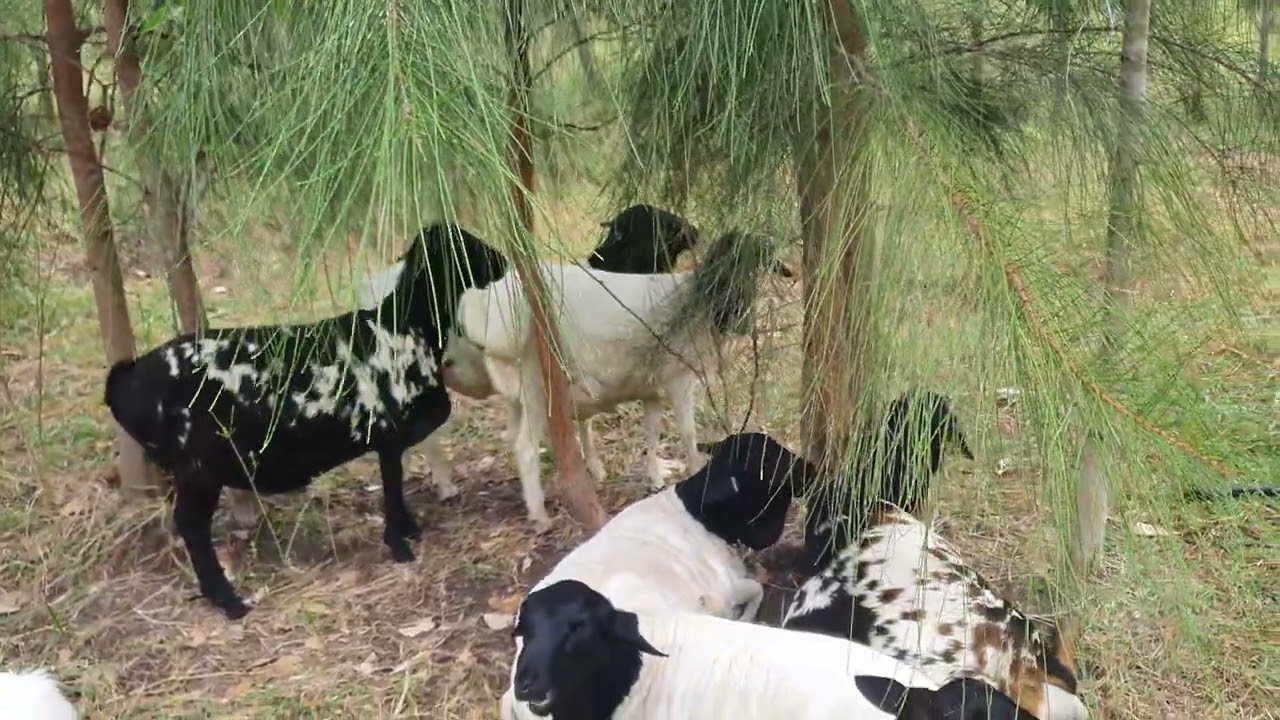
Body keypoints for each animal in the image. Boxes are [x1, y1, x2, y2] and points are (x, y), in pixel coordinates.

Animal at [103, 223, 506, 619]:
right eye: (467, 244)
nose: (503, 259)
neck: (403, 325)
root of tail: (128, 377)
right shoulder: (387, 434)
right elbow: (392, 491)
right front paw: (401, 546)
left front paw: (411, 531)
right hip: (198, 467)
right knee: (192, 527)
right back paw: (229, 601)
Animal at [456, 231, 792, 531]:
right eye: (722, 270)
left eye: (756, 270)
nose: (736, 320)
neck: (695, 303)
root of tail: (484, 306)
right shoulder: (678, 380)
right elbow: (688, 433)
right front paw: (696, 471)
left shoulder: (652, 388)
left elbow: (652, 433)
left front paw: (655, 477)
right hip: (539, 387)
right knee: (526, 448)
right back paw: (539, 517)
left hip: (518, 391)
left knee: (514, 438)